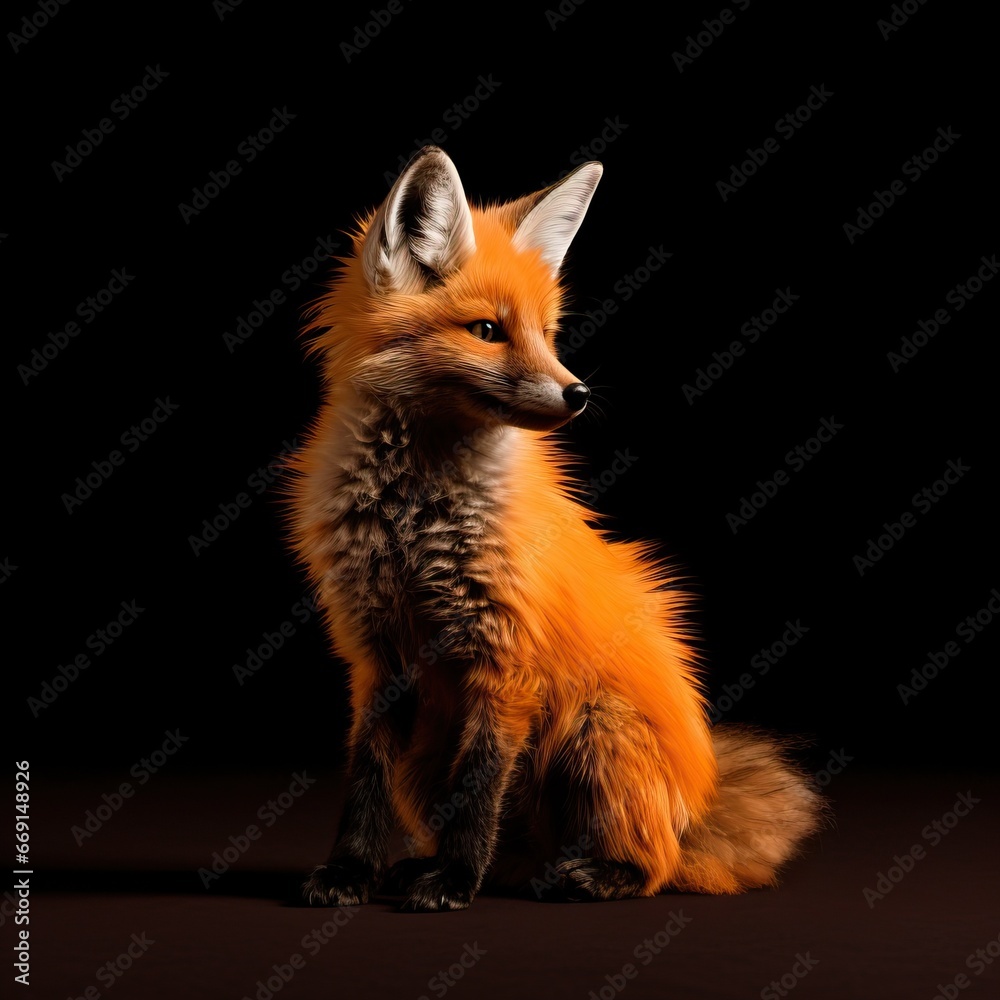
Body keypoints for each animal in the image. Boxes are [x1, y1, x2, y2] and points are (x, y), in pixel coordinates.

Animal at [287, 146, 824, 911]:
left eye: (547, 334)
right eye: (487, 331)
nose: (579, 394)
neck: (414, 520)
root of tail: (696, 807)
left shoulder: (507, 657)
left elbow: (480, 784)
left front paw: (454, 881)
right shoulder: (375, 654)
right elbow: (366, 778)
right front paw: (353, 871)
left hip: (597, 732)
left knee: (653, 867)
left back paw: (587, 874)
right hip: (431, 754)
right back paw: (438, 868)